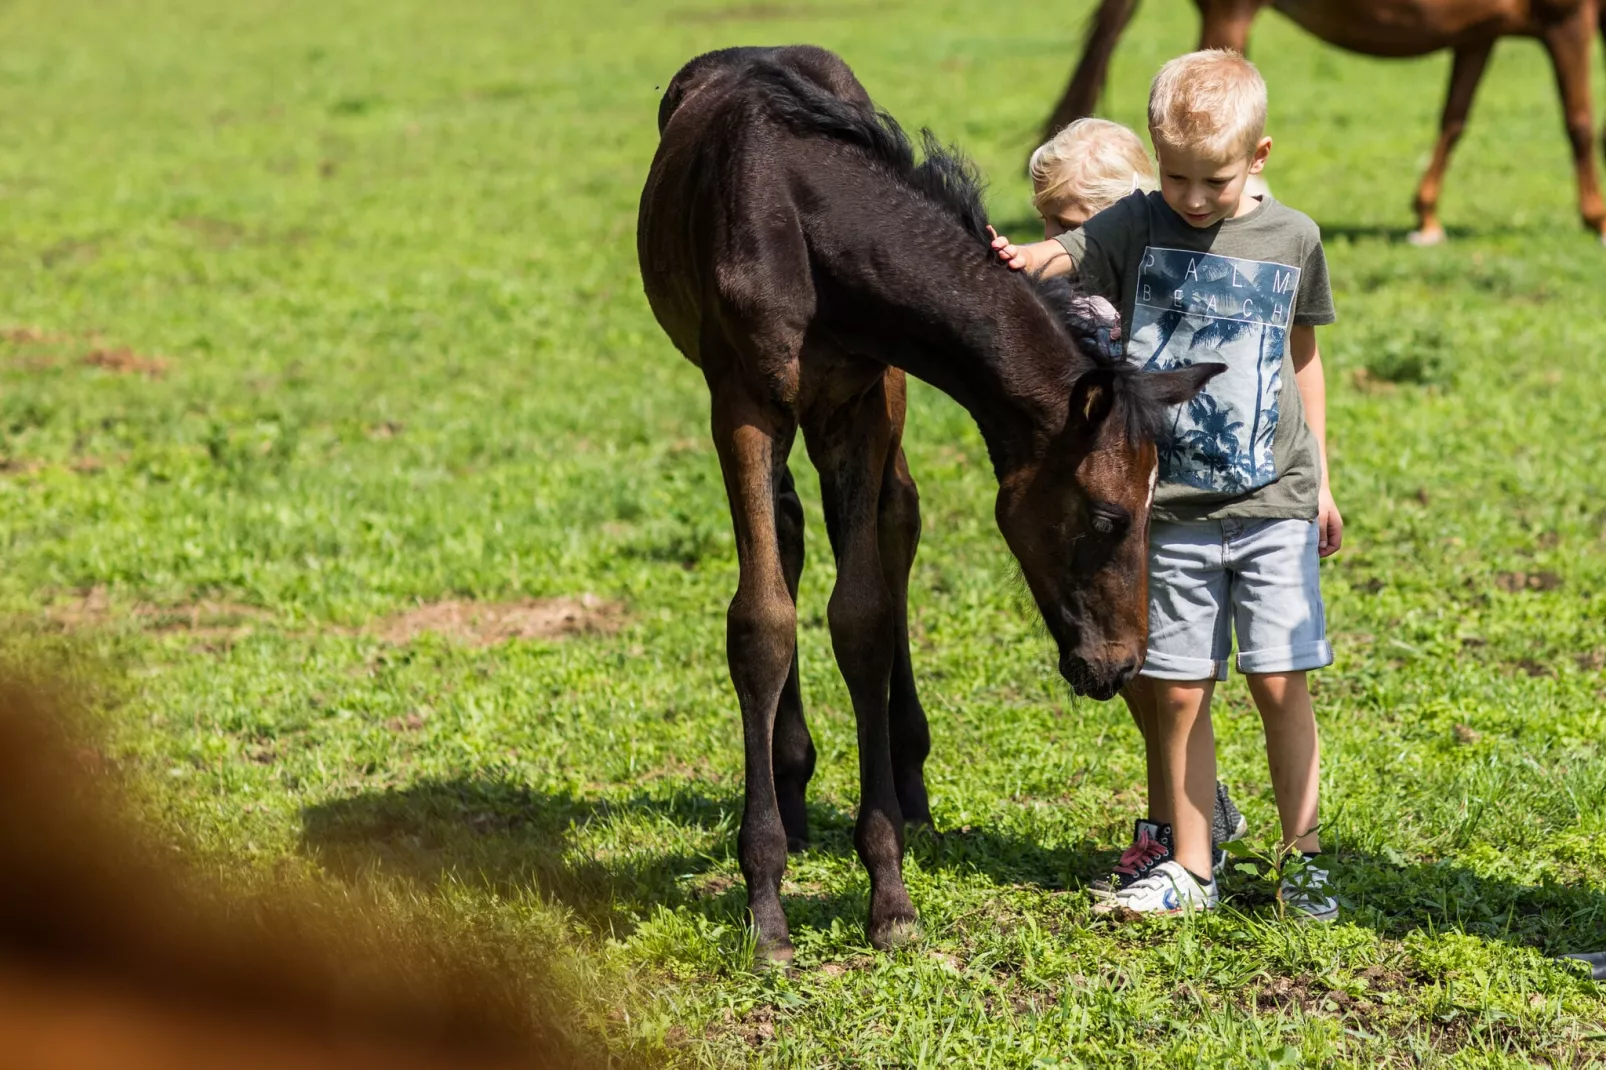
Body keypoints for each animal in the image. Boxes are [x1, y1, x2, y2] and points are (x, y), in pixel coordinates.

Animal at [639, 43, 1214, 957]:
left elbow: (864, 615)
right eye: (1106, 517)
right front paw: (766, 903)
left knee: (893, 519)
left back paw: (905, 782)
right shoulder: (742, 403)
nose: (1120, 663)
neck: (807, 215)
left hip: (890, 389)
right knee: (791, 536)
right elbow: (761, 622)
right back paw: (792, 789)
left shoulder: (863, 395)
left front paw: (889, 891)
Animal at [1040, 0, 1606, 244]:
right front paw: (1596, 217)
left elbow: (1454, 119)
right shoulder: (1567, 19)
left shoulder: (1477, 34)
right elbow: (1579, 120)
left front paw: (1426, 214)